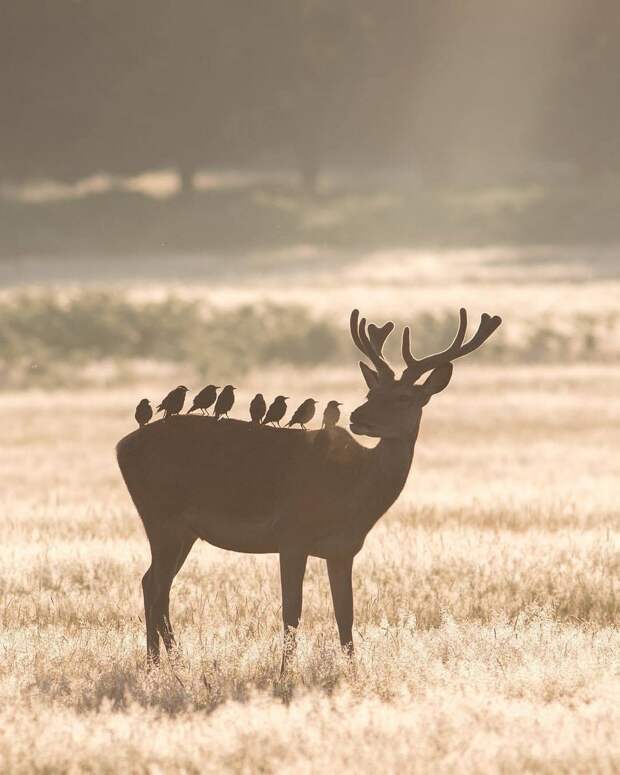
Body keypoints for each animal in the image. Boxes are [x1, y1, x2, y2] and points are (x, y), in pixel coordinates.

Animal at [116, 306, 502, 668]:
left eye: (405, 397)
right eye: (371, 390)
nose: (358, 417)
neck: (355, 494)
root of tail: (121, 446)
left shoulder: (344, 549)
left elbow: (345, 615)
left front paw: (351, 672)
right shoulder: (291, 534)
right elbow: (292, 612)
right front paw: (285, 673)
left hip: (182, 529)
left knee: (152, 583)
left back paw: (162, 664)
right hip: (161, 517)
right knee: (157, 587)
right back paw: (165, 664)